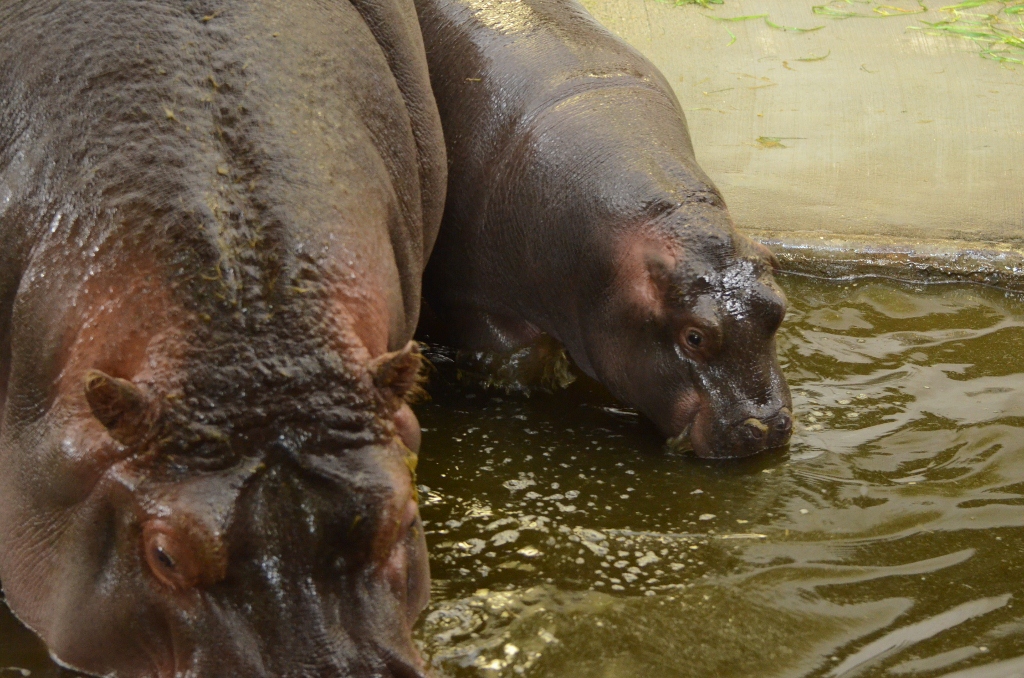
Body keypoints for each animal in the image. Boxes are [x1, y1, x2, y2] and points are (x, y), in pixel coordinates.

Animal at [415, 0, 790, 462]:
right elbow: (519, 362)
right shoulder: (474, 302)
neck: (663, 217)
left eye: (779, 309)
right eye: (695, 336)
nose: (766, 427)